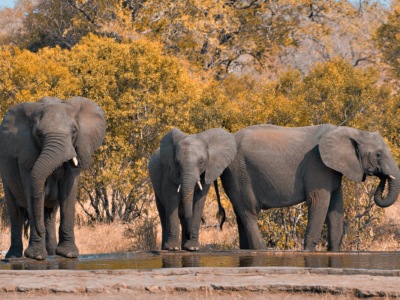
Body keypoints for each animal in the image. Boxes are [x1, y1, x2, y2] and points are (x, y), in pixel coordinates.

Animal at [0, 96, 105, 260]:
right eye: (38, 134)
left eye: (74, 131)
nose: (40, 231)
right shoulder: (26, 155)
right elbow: (33, 193)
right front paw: (36, 256)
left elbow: (68, 194)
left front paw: (68, 254)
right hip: (5, 175)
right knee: (16, 212)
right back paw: (14, 257)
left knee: (49, 214)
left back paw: (51, 252)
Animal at [219, 123, 400, 251]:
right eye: (378, 154)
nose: (382, 176)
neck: (353, 132)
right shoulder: (318, 167)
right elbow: (318, 202)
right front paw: (309, 251)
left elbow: (336, 207)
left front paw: (334, 251)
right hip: (239, 173)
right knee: (249, 211)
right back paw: (263, 250)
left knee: (240, 215)